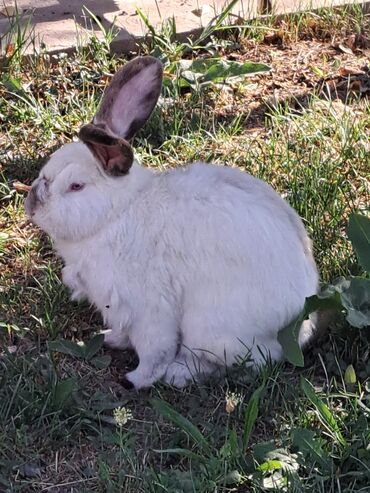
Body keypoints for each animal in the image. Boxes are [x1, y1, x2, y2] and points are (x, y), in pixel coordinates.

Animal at [26, 55, 320, 388]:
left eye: (76, 186)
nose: (32, 205)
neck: (118, 213)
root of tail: (299, 325)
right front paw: (112, 339)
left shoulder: (148, 308)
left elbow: (155, 350)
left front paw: (136, 379)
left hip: (208, 326)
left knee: (246, 360)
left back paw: (179, 373)